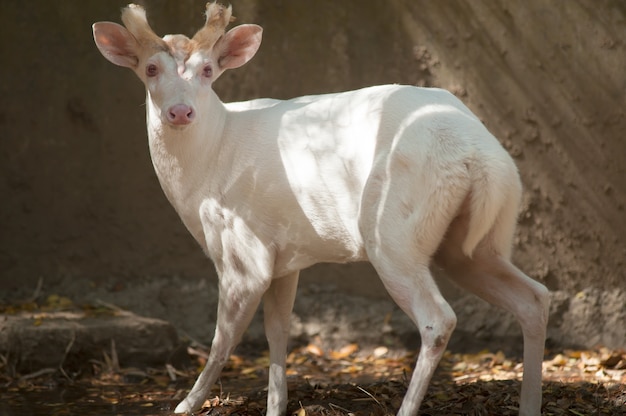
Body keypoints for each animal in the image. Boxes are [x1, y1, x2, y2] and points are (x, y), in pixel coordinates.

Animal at [91, 4, 544, 416]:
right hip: (478, 237)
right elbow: (278, 329)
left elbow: (225, 337)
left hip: (393, 232)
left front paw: (186, 405)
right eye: (151, 68)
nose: (180, 111)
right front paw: (275, 406)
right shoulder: (284, 255)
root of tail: (477, 156)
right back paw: (529, 405)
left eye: (207, 70)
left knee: (439, 318)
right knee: (533, 297)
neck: (208, 167)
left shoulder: (243, 248)